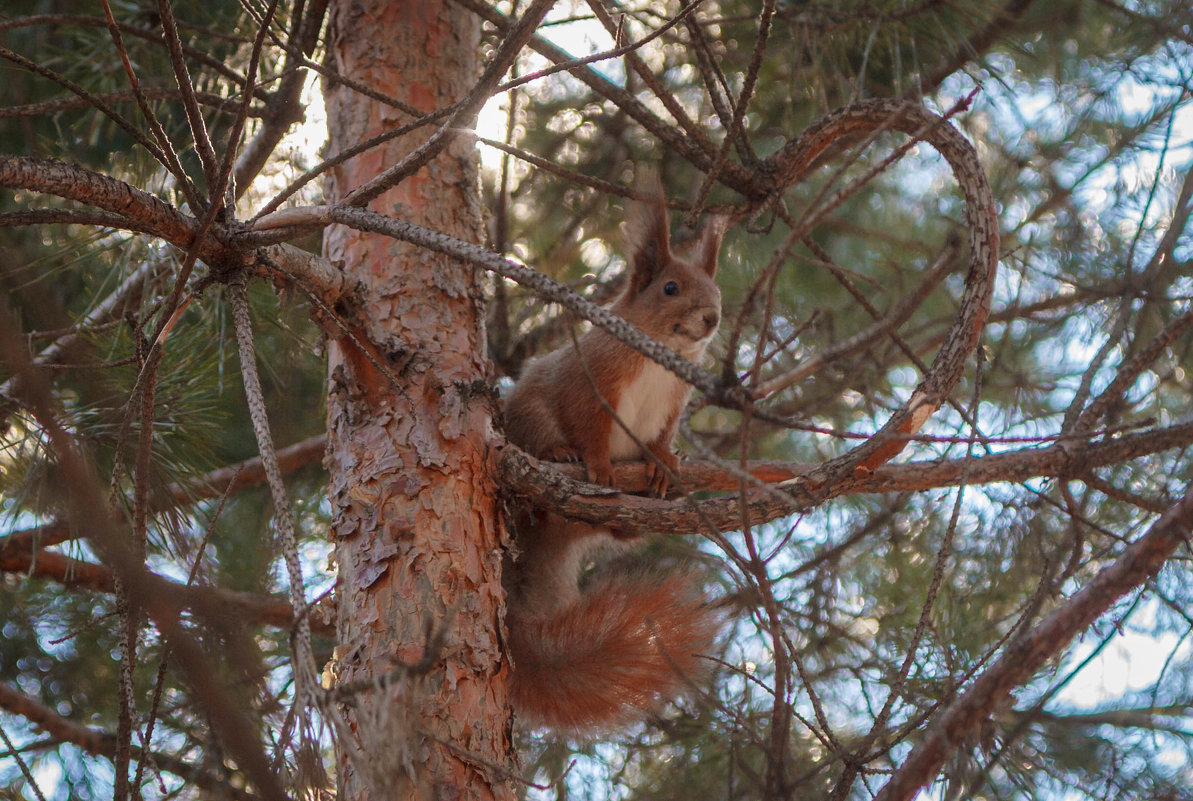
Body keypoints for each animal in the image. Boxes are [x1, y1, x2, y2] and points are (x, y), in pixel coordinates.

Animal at [503, 180, 725, 735]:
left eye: (719, 294)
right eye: (669, 288)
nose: (711, 318)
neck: (661, 355)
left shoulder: (672, 406)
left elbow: (660, 438)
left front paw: (666, 463)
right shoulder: (591, 386)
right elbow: (590, 430)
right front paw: (599, 464)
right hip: (531, 415)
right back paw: (554, 460)